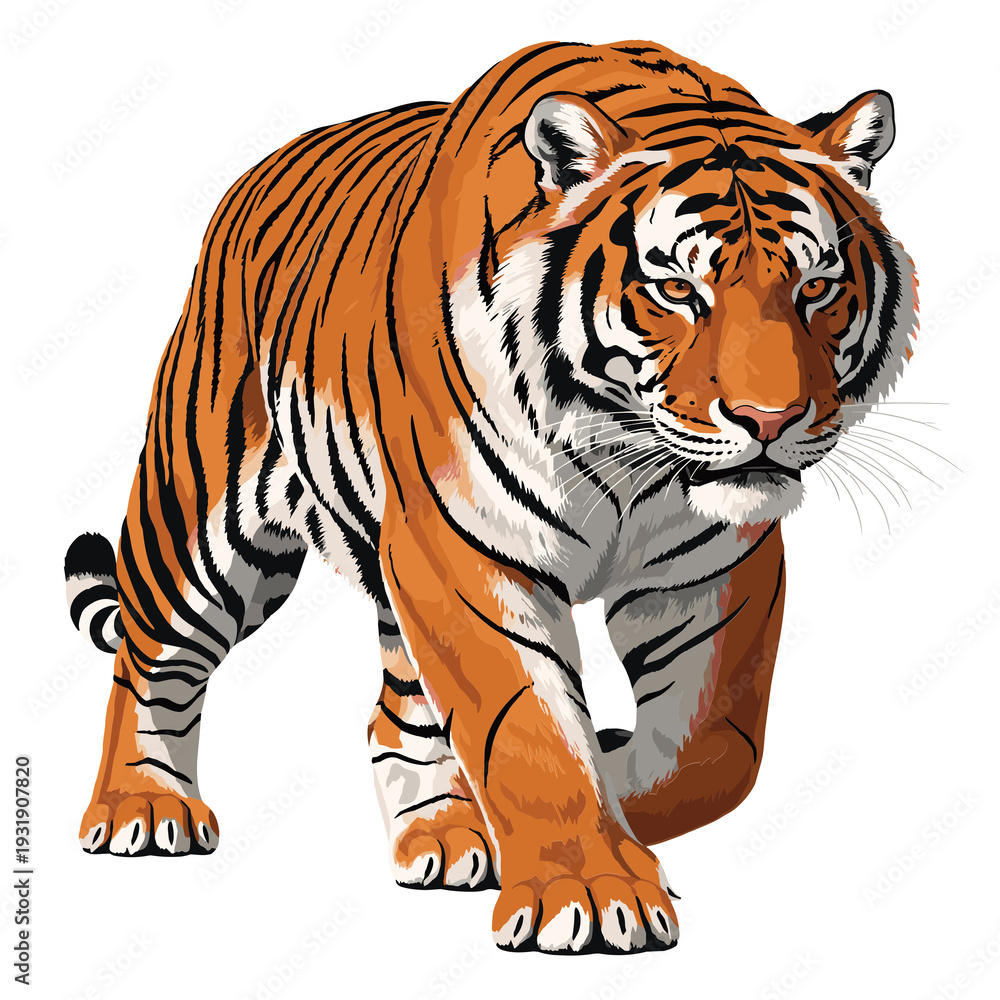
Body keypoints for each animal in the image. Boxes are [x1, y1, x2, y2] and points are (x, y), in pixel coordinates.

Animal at [64, 39, 917, 953]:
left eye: (817, 287)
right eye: (677, 291)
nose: (770, 420)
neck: (630, 456)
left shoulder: (712, 570)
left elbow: (714, 750)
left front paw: (609, 781)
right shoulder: (465, 547)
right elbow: (530, 728)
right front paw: (588, 889)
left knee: (394, 713)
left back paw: (445, 833)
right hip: (201, 518)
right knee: (149, 655)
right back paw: (142, 808)